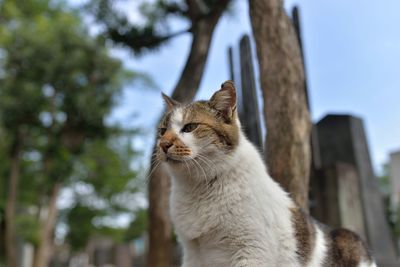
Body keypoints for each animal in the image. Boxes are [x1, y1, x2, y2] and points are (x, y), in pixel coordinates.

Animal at [156, 80, 376, 266]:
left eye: (190, 127)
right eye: (162, 131)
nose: (163, 144)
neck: (199, 187)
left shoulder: (251, 250)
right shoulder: (192, 253)